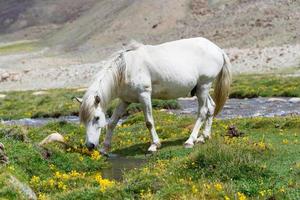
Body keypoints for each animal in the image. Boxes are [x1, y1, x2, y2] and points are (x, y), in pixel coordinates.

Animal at [76, 37, 231, 153]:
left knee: (202, 112)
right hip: (200, 89)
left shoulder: (144, 95)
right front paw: (105, 149)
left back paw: (190, 140)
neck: (126, 68)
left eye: (96, 118)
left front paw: (154, 145)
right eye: (83, 120)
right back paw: (203, 137)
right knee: (211, 107)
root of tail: (218, 49)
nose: (90, 146)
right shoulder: (125, 100)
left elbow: (149, 122)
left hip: (204, 86)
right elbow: (112, 122)